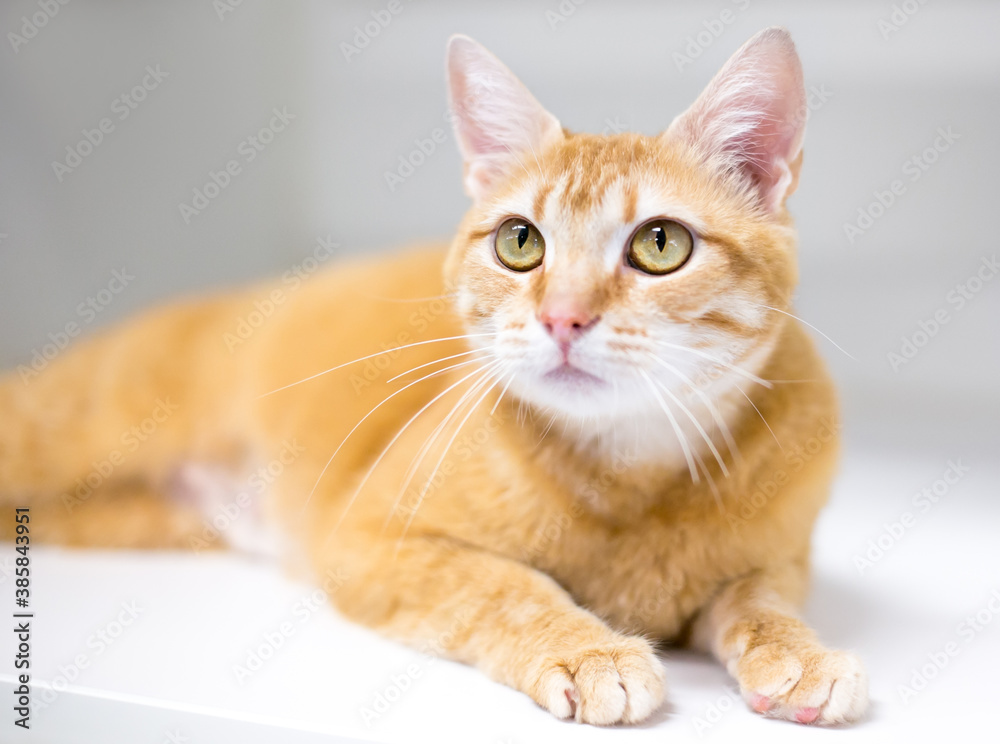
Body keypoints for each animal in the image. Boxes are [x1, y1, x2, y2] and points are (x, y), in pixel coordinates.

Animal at [0, 29, 868, 728]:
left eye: (661, 245)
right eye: (521, 242)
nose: (563, 318)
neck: (631, 478)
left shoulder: (780, 561)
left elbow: (759, 600)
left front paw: (801, 652)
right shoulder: (370, 543)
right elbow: (503, 585)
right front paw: (589, 648)